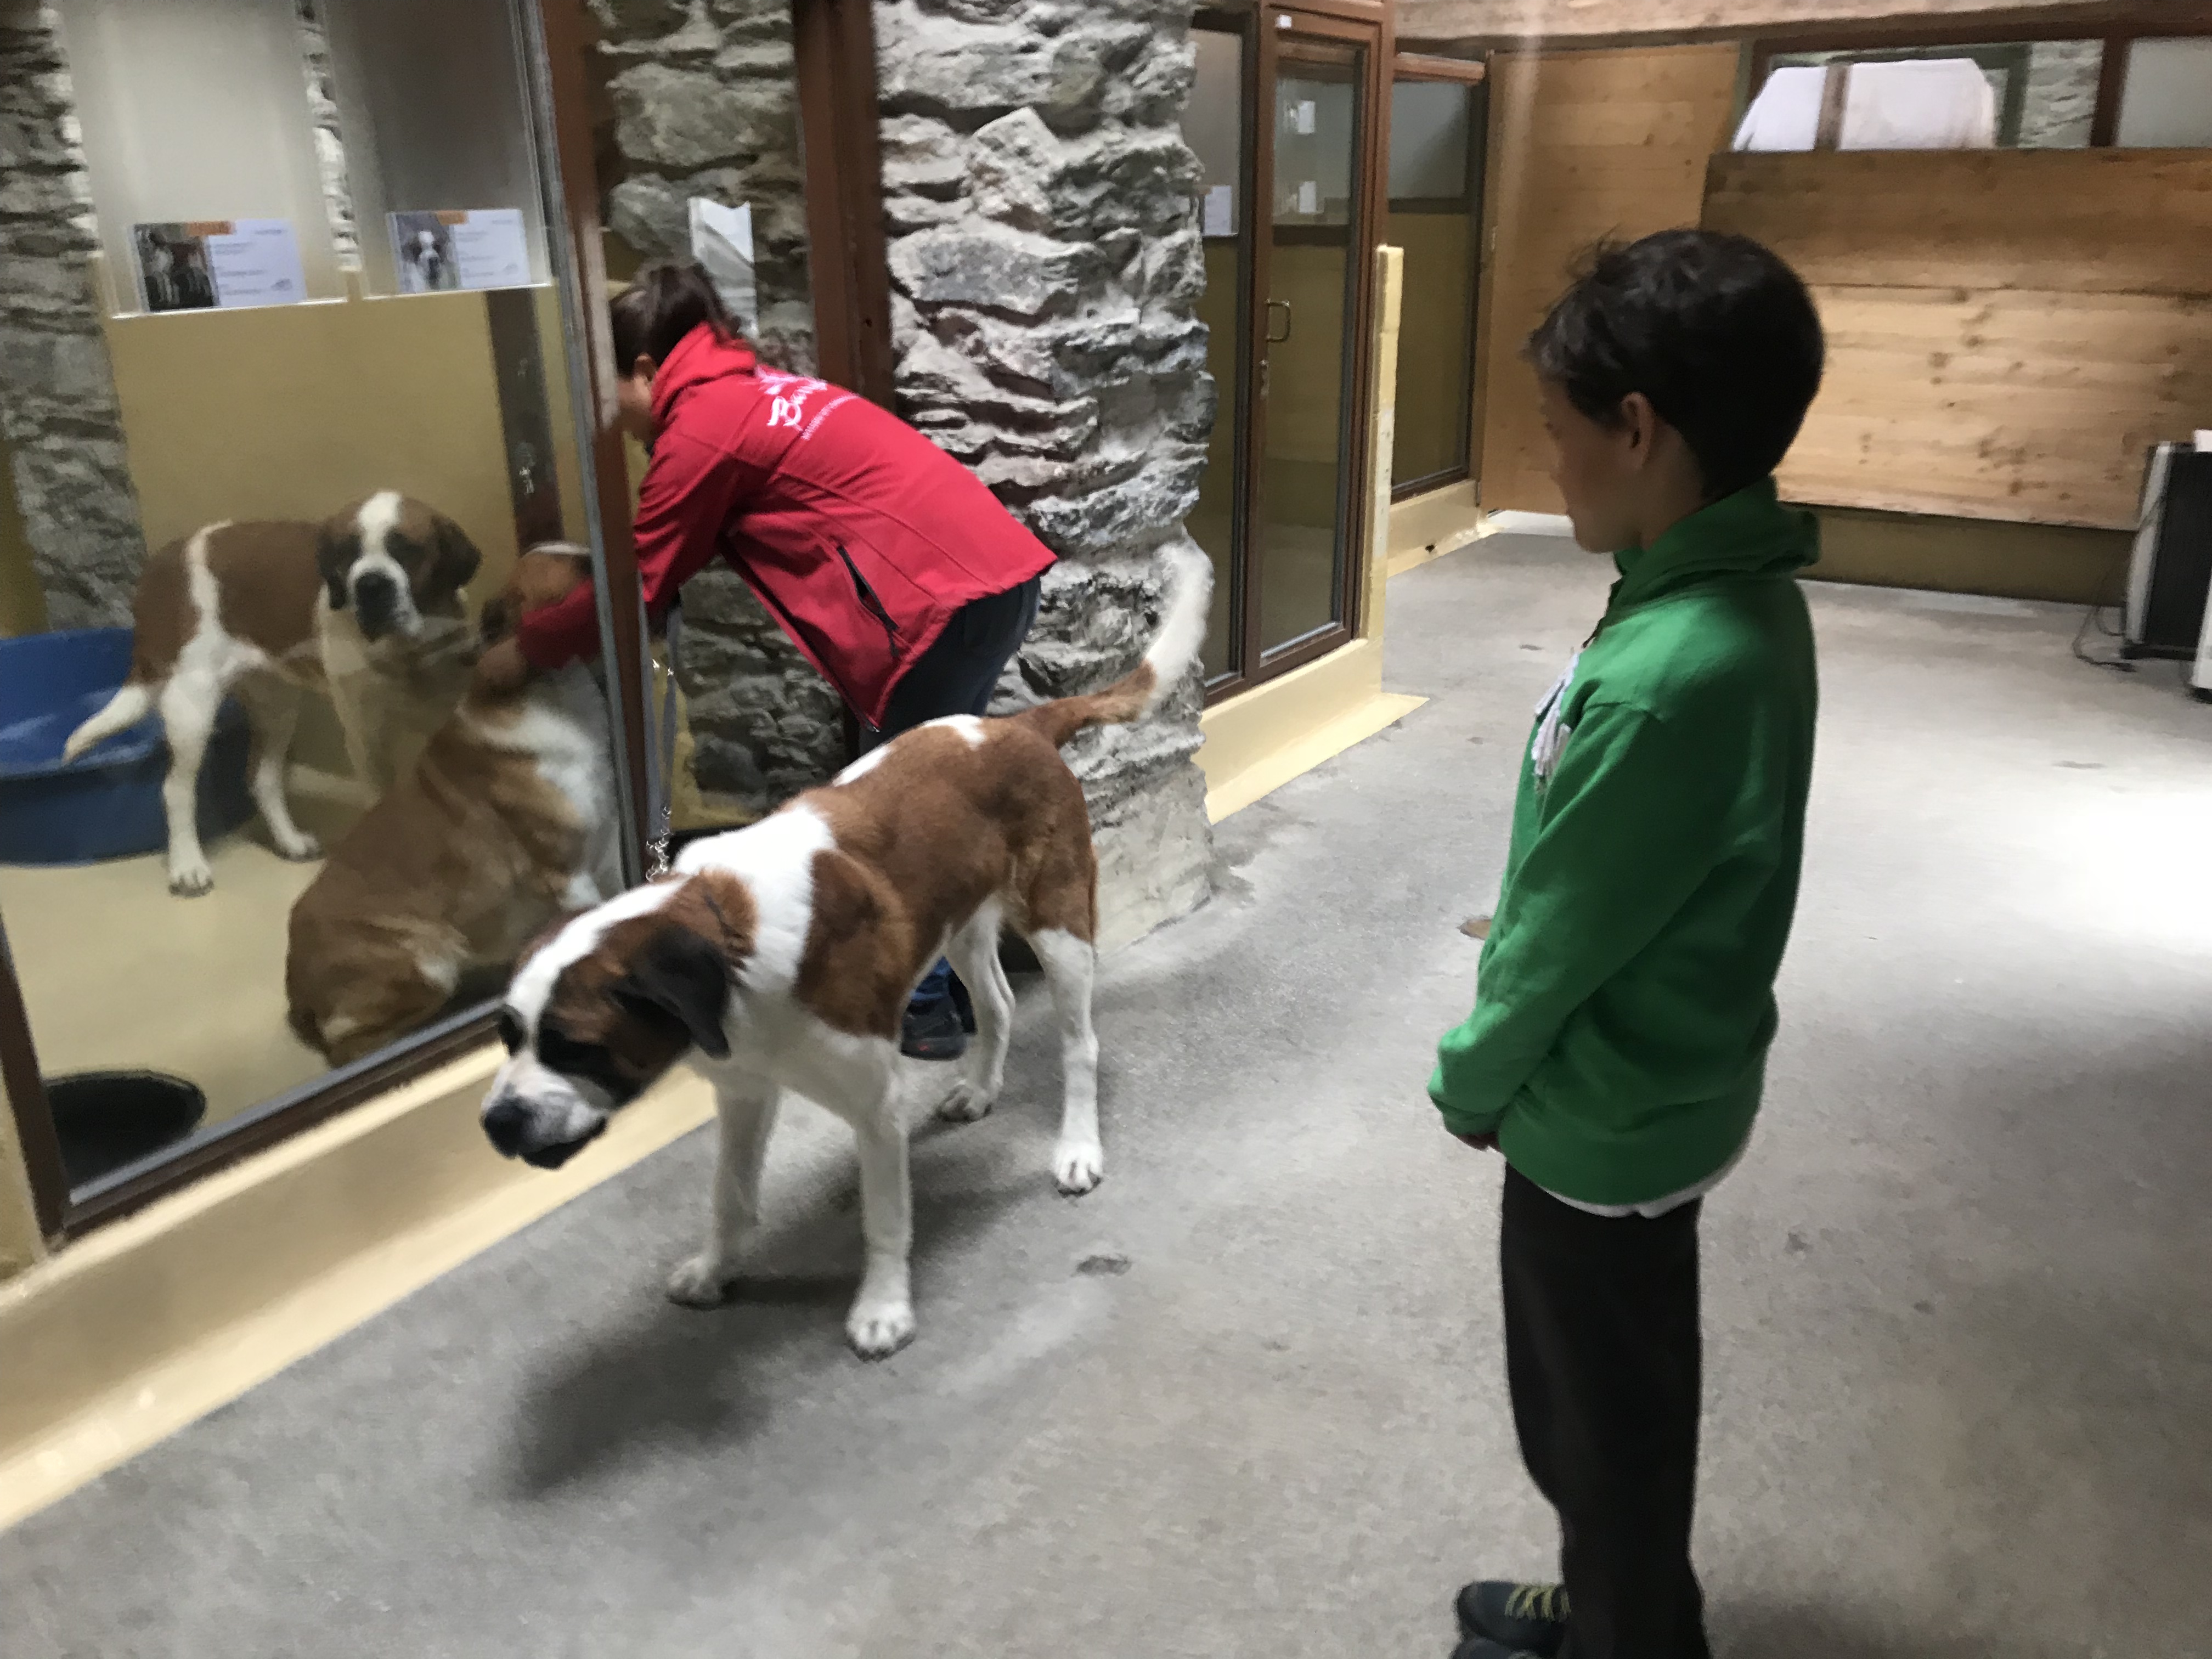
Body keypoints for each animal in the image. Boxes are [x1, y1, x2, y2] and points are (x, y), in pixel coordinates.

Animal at [62, 491, 482, 895]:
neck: (408, 652)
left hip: (278, 707)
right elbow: (381, 801)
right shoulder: (367, 738)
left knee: (262, 779)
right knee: (175, 790)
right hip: (191, 708)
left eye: (406, 549)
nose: (370, 585)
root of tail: (164, 561)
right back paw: (187, 867)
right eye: (348, 554)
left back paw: (289, 841)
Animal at [477, 542, 1212, 1358]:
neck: (730, 943)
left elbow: (883, 1216)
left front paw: (883, 1307)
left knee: (1080, 1044)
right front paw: (716, 1269)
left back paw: (1077, 1148)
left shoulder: (873, 1103)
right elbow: (729, 1195)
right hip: (959, 921)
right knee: (995, 1003)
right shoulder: (744, 1093)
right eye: (509, 1036)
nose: (496, 1123)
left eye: (574, 1046)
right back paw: (980, 1087)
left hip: (1060, 925)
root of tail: (1018, 726)